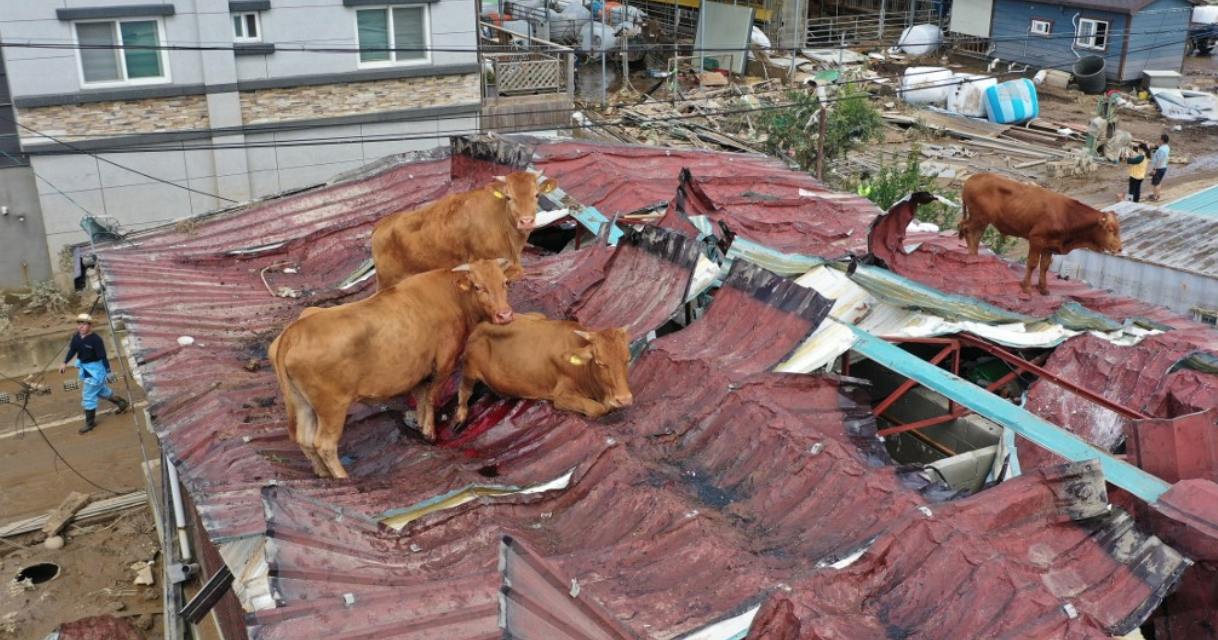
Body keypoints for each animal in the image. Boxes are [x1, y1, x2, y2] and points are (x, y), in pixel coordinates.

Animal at [269, 257, 516, 475]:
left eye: (504, 282)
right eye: (478, 287)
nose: (504, 315)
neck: (452, 295)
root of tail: (296, 329)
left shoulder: (417, 371)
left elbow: (421, 399)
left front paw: (419, 426)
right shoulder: (443, 364)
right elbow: (431, 398)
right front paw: (429, 434)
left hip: (302, 404)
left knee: (304, 440)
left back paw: (322, 473)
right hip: (332, 408)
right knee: (324, 444)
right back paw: (342, 477)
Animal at [453, 314, 633, 424]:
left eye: (627, 359)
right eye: (600, 363)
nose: (624, 399)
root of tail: (479, 325)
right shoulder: (560, 397)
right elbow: (597, 408)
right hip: (469, 367)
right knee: (464, 389)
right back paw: (460, 416)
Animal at [959, 173, 1120, 296]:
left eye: (1119, 229)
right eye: (1110, 229)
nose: (1119, 248)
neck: (1066, 214)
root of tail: (973, 177)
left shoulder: (1049, 246)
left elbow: (1044, 267)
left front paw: (1043, 289)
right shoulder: (1036, 239)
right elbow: (1032, 263)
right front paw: (1026, 287)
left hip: (983, 221)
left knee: (975, 235)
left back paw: (975, 257)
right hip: (979, 217)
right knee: (965, 228)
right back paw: (971, 258)